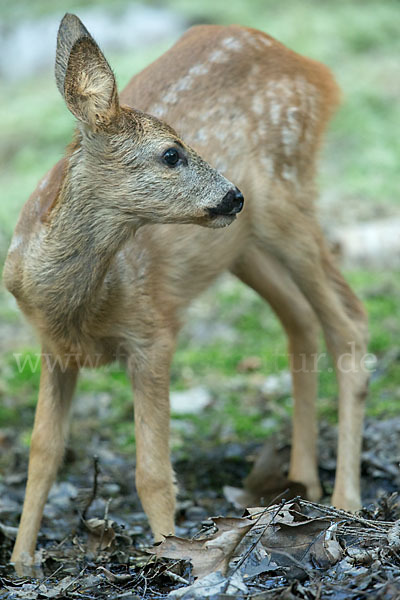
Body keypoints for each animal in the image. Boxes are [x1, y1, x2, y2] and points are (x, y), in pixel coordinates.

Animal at [3, 12, 368, 568]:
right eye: (171, 153)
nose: (233, 195)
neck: (77, 306)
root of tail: (313, 67)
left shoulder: (152, 333)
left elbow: (152, 472)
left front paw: (171, 556)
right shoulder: (53, 348)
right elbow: (42, 452)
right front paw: (22, 561)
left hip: (285, 200)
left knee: (349, 321)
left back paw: (346, 500)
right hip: (242, 246)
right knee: (300, 319)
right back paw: (300, 481)